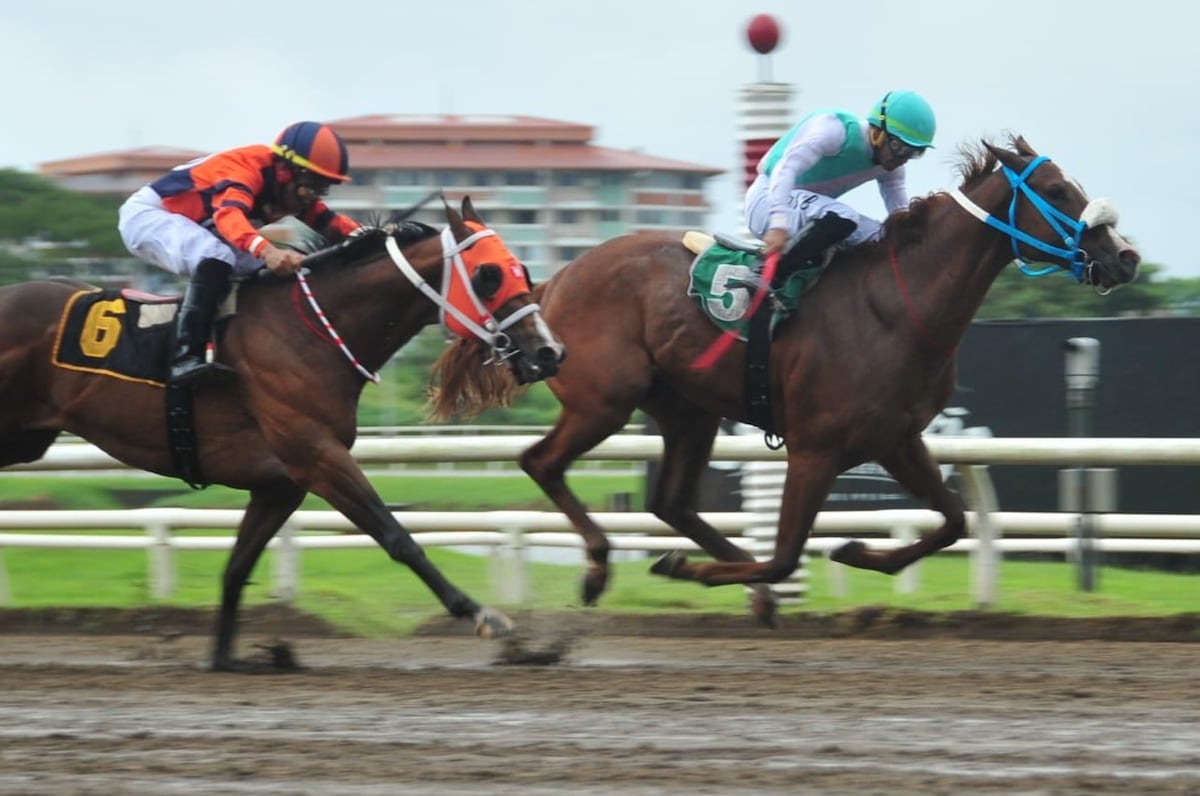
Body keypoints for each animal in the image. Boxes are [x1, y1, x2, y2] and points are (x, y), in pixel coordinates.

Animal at [0, 195, 564, 667]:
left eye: (522, 268)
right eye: (488, 275)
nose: (549, 351)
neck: (307, 332)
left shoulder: (280, 484)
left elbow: (236, 568)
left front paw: (228, 658)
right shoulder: (318, 456)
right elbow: (398, 536)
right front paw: (485, 616)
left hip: (26, 439)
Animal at [432, 138, 1142, 629]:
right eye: (1057, 190)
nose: (1125, 257)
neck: (899, 306)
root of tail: (554, 280)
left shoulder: (896, 441)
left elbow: (952, 520)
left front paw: (855, 551)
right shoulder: (815, 447)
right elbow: (785, 553)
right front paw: (699, 569)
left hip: (686, 410)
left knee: (672, 503)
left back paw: (739, 587)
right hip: (603, 400)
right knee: (541, 462)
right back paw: (602, 565)